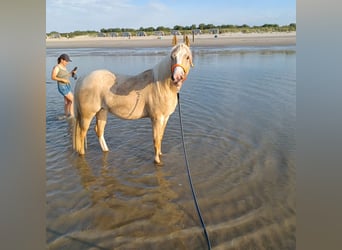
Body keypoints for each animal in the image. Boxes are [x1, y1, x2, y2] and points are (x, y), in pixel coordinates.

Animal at [72, 35, 194, 164]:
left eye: (187, 57)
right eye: (172, 57)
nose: (177, 77)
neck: (160, 85)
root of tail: (82, 78)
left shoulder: (165, 118)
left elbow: (160, 137)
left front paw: (161, 154)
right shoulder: (156, 118)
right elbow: (156, 139)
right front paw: (157, 161)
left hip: (101, 112)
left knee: (99, 131)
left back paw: (106, 151)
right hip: (87, 115)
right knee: (82, 134)